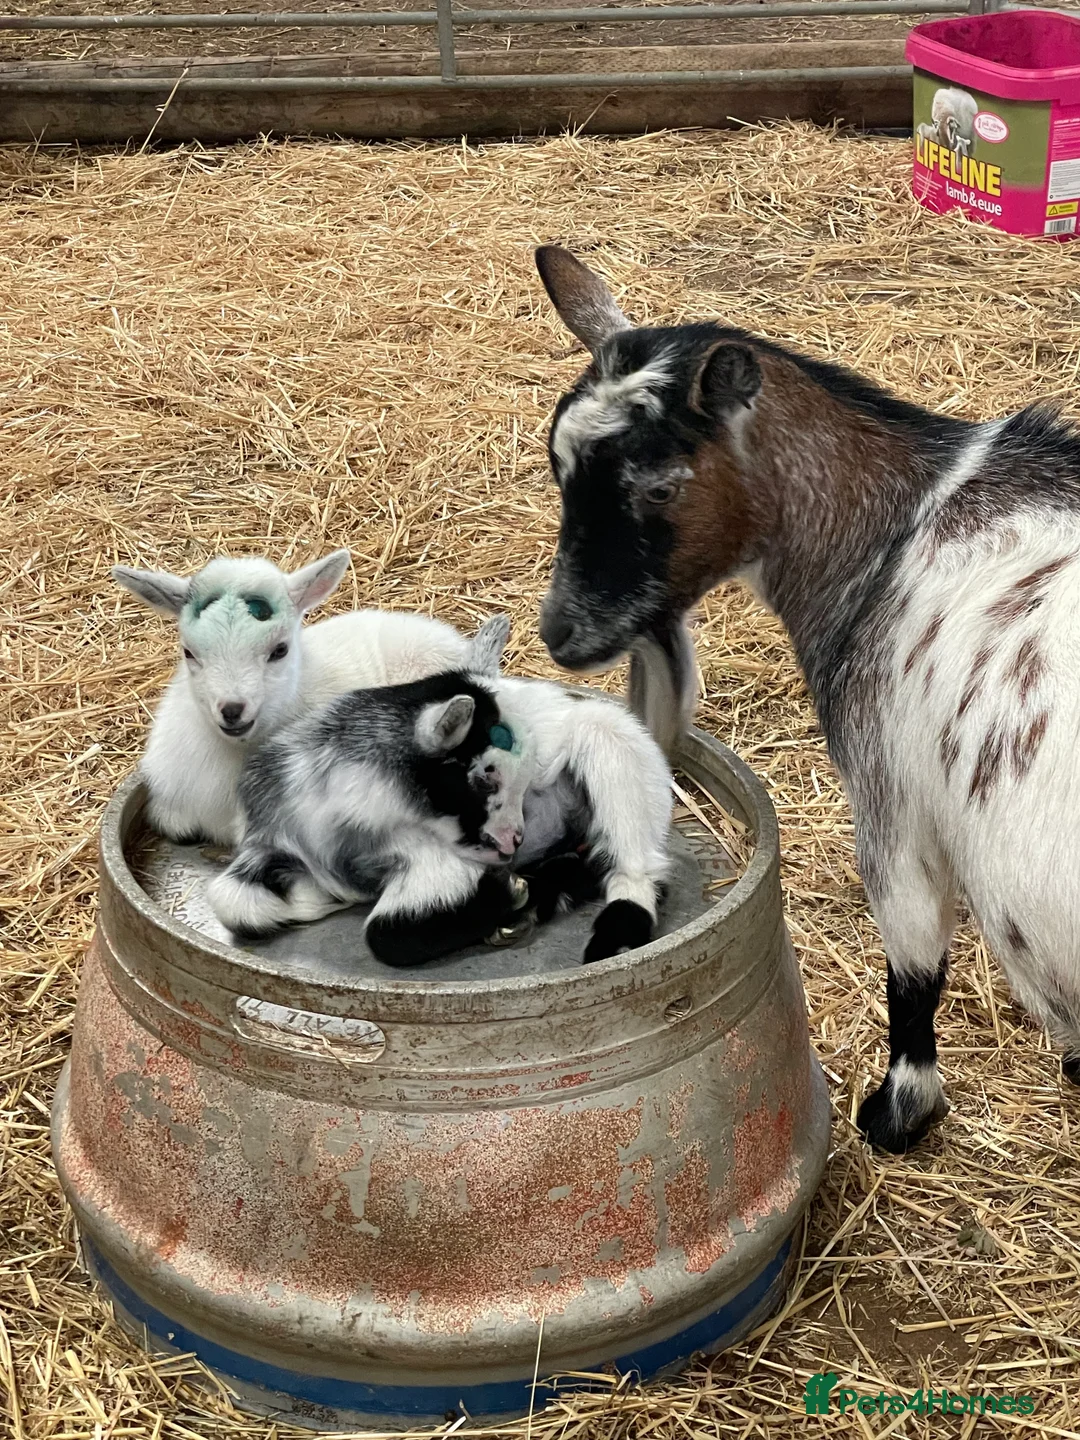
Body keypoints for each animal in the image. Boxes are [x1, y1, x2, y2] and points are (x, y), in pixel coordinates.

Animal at [533, 243, 1080, 1151]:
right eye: (558, 466)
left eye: (659, 487)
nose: (562, 633)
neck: (893, 534)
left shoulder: (891, 797)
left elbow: (913, 965)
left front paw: (897, 1113)